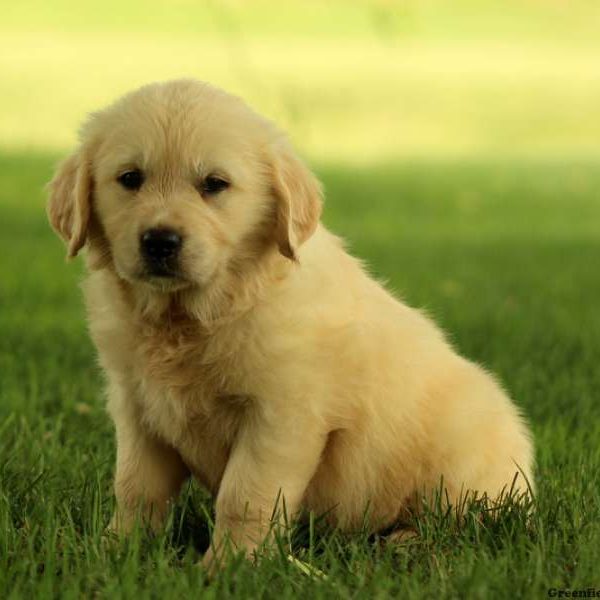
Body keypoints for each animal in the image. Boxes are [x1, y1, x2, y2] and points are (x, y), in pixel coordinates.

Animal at [48, 78, 536, 568]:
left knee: (461, 526)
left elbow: (244, 495)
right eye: (130, 179)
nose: (160, 241)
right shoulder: (138, 407)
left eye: (214, 184)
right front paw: (116, 550)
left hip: (461, 459)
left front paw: (229, 566)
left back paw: (405, 542)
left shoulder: (280, 415)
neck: (192, 315)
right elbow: (135, 487)